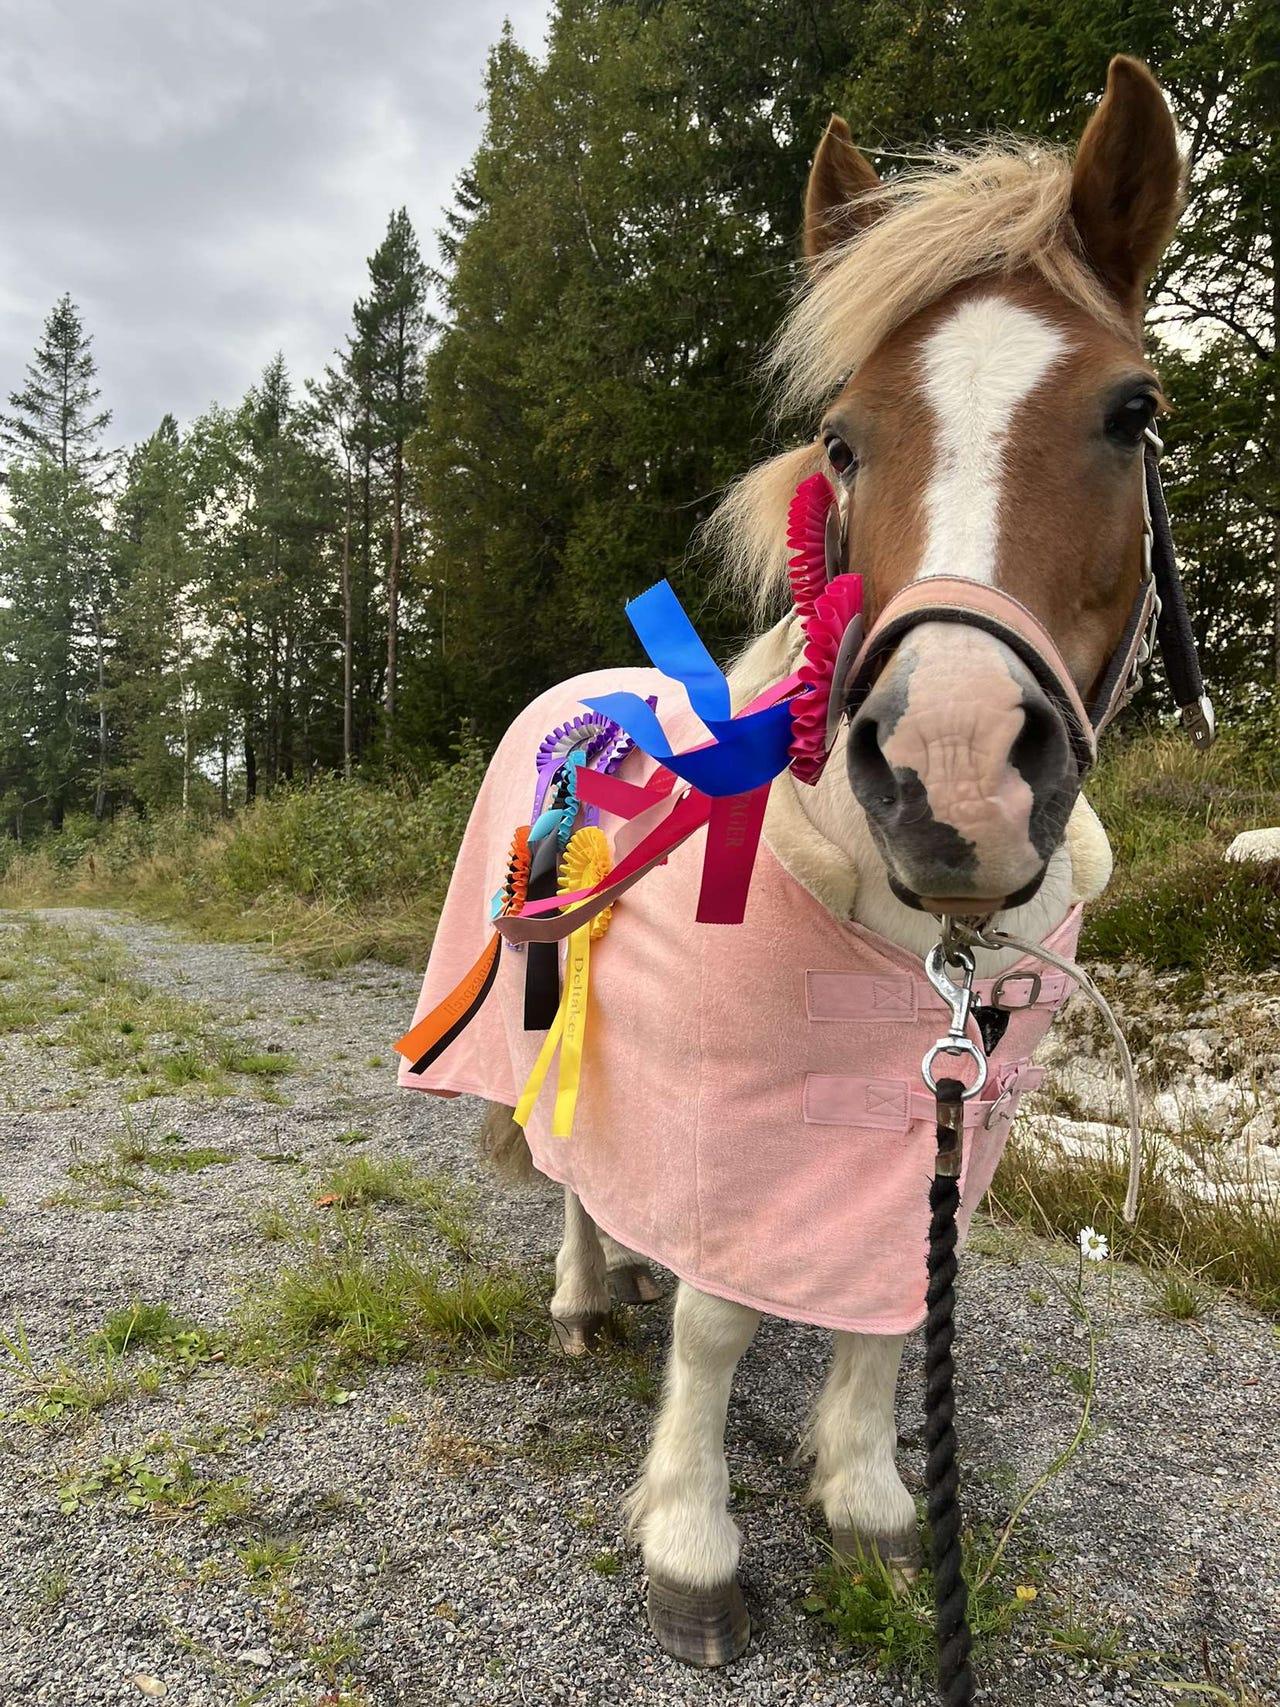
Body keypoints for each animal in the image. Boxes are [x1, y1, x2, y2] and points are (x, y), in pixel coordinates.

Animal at [399, 54, 1187, 1675]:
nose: (955, 769)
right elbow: (718, 1318)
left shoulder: (936, 1123)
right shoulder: (730, 1115)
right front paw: (692, 1541)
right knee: (573, 1178)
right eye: (841, 436)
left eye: (1131, 409)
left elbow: (888, 1306)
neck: (912, 938)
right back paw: (586, 1294)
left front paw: (872, 1504)